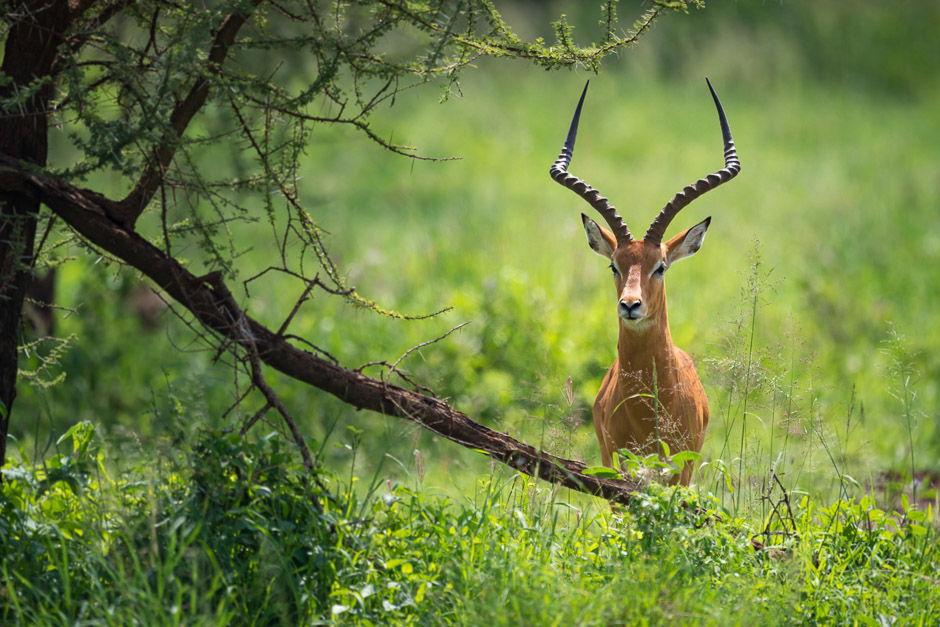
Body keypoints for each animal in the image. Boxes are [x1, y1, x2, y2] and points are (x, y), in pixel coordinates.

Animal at [549, 80, 741, 486]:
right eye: (614, 266)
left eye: (661, 266)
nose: (630, 305)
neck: (649, 411)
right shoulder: (618, 465)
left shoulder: (682, 468)